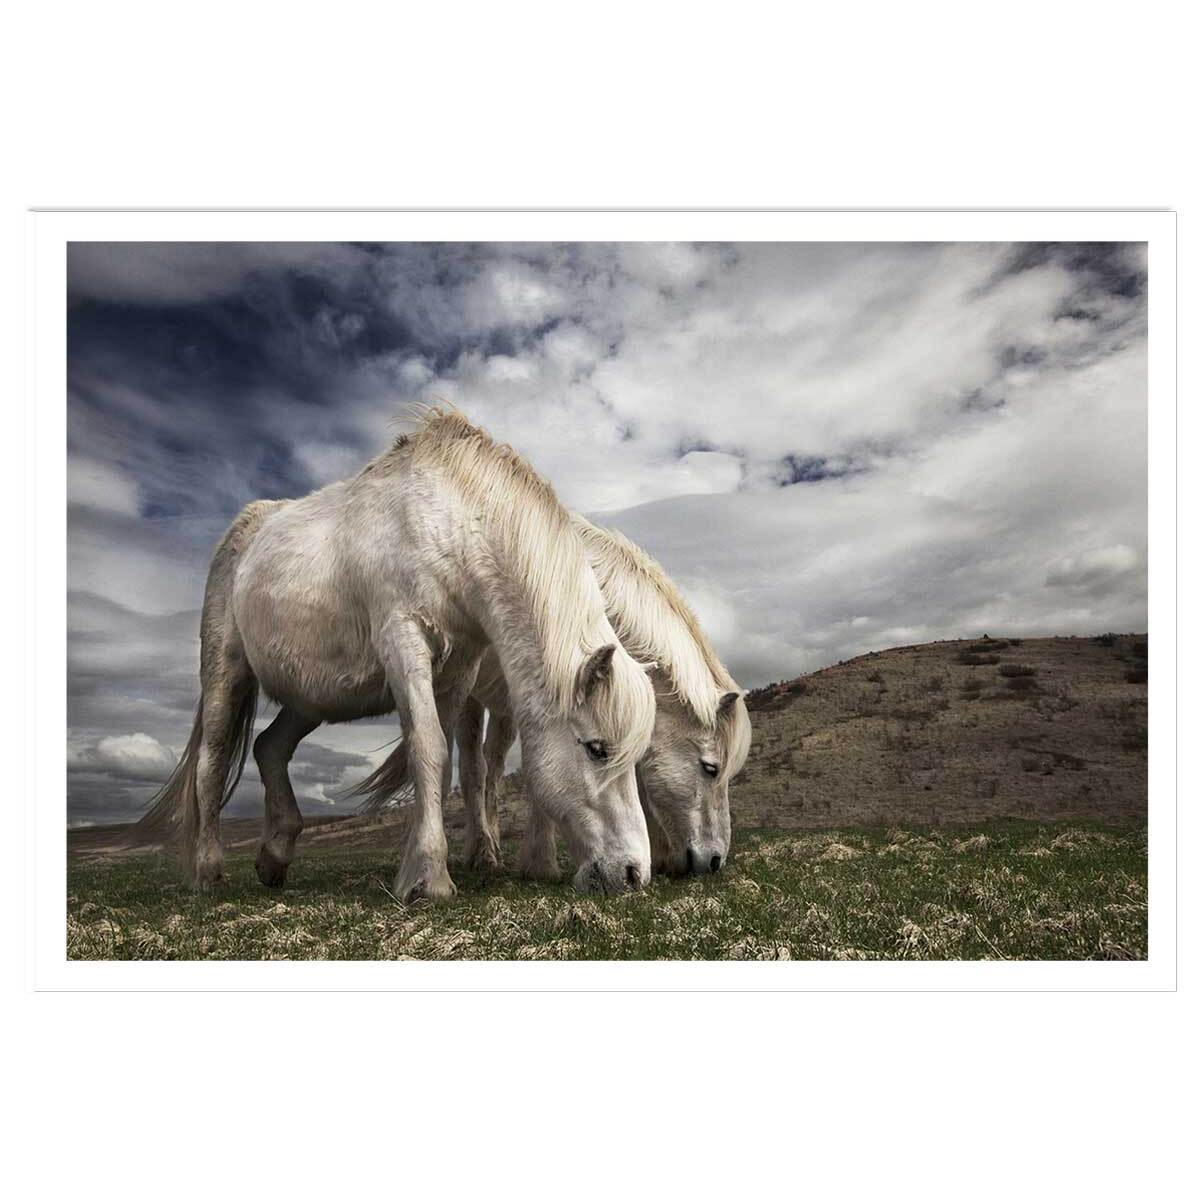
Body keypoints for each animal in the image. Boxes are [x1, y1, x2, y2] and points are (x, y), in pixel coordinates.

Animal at [131, 410, 657, 901]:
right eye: (597, 749)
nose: (634, 874)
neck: (448, 525)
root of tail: (244, 531)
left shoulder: (458, 672)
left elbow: (444, 765)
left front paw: (424, 865)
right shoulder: (403, 643)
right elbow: (428, 749)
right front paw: (430, 879)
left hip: (309, 700)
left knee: (270, 748)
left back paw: (275, 857)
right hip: (226, 674)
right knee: (212, 761)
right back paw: (207, 872)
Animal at [354, 513, 752, 879]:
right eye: (711, 768)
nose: (714, 861)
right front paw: (541, 863)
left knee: (493, 766)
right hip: (470, 698)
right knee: (473, 768)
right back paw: (480, 853)